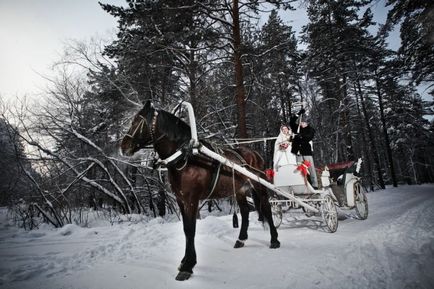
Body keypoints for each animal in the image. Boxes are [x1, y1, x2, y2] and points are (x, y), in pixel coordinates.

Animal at [120, 100, 280, 280]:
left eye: (137, 121)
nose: (123, 146)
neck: (187, 156)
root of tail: (254, 153)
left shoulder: (191, 199)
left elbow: (191, 230)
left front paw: (188, 266)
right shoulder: (180, 199)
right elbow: (185, 229)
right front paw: (184, 261)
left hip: (259, 185)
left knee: (266, 207)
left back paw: (274, 240)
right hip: (239, 190)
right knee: (245, 211)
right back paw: (241, 239)